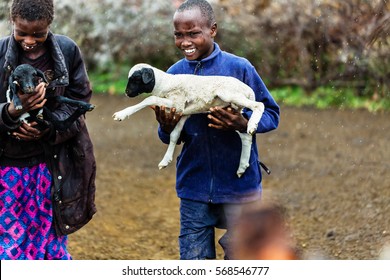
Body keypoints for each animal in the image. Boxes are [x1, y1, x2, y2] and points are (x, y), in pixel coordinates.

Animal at [112, 64, 266, 177]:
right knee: (245, 136)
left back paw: (253, 125)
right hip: (232, 111)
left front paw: (121, 114)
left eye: (136, 79)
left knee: (259, 105)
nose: (126, 92)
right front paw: (165, 161)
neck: (164, 83)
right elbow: (174, 135)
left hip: (230, 96)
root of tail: (249, 90)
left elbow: (149, 99)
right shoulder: (183, 113)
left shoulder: (177, 103)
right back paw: (242, 166)